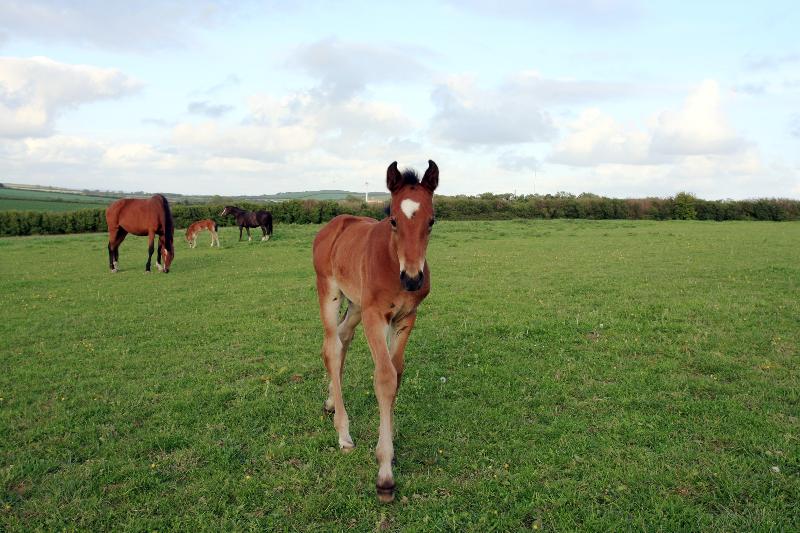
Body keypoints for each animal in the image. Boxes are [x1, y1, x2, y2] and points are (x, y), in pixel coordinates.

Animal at [310, 158, 438, 498]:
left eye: (432, 221)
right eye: (393, 219)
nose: (413, 279)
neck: (394, 264)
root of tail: (334, 224)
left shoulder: (406, 317)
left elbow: (397, 373)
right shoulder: (375, 316)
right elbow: (384, 377)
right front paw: (384, 473)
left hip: (355, 304)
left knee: (343, 338)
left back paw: (331, 403)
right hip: (330, 291)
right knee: (331, 346)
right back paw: (343, 434)